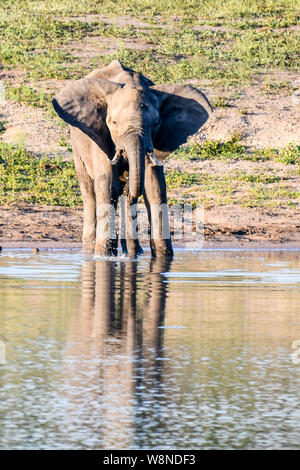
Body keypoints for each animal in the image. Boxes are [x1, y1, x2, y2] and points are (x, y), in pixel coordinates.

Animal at [52, 59, 211, 258]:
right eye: (113, 122)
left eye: (156, 123)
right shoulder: (101, 136)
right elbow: (108, 184)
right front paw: (104, 257)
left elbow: (154, 186)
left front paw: (164, 256)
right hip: (78, 146)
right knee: (90, 193)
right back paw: (92, 252)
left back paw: (133, 252)